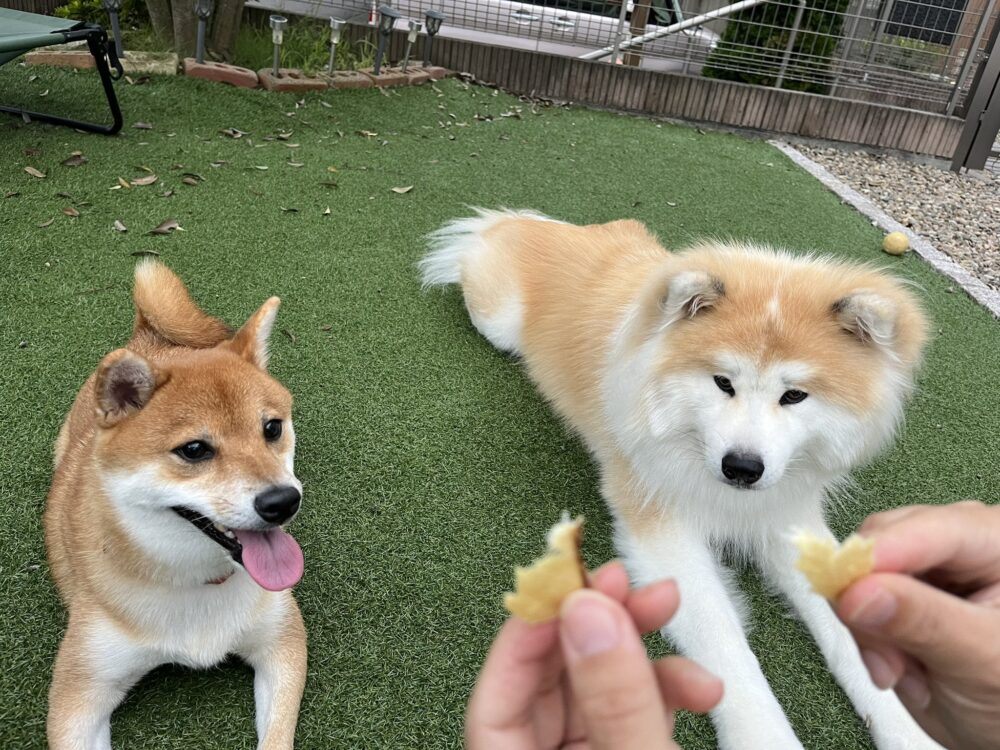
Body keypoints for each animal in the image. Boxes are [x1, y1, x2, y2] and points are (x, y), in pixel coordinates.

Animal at [44, 260, 308, 750]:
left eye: (272, 428)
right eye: (194, 450)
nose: (283, 501)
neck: (195, 581)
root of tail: (150, 339)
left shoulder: (282, 642)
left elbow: (276, 737)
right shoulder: (79, 693)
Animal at [424, 210, 944, 750]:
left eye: (795, 395)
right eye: (722, 383)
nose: (742, 467)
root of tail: (536, 223)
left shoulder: (785, 518)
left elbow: (848, 628)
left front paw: (908, 729)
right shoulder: (663, 533)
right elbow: (727, 648)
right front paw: (763, 735)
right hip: (498, 322)